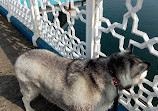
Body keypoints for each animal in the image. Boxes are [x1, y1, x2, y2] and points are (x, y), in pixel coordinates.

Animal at [14, 45, 150, 110]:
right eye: (144, 72)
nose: (147, 74)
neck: (112, 73)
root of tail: (21, 56)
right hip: (30, 90)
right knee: (24, 99)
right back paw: (29, 108)